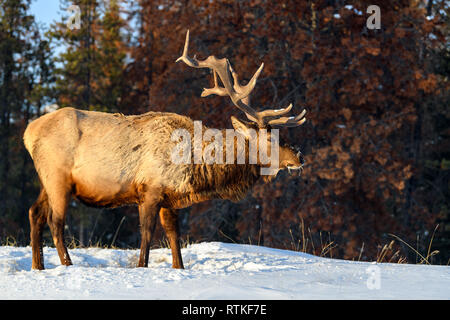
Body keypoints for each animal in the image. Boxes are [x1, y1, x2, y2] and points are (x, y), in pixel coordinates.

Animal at [23, 30, 306, 270]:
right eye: (269, 138)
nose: (299, 156)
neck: (195, 165)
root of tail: (28, 132)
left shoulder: (171, 198)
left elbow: (174, 235)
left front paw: (178, 268)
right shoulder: (150, 190)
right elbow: (147, 235)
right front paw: (142, 267)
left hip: (46, 180)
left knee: (35, 213)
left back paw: (39, 266)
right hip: (58, 177)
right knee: (55, 221)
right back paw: (67, 265)